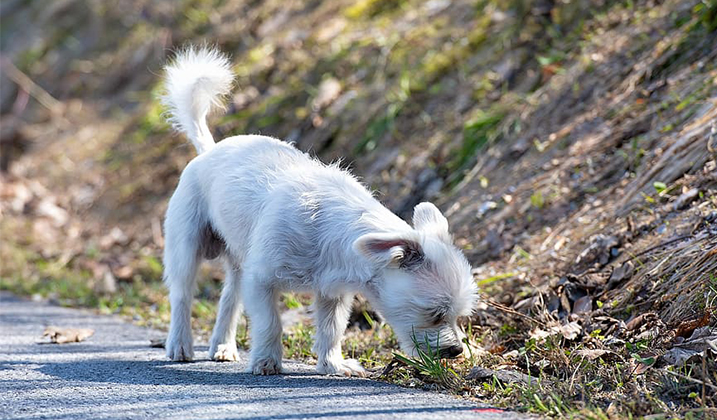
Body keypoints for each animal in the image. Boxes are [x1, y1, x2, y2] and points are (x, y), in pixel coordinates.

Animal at [159, 46, 478, 378]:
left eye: (458, 315)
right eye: (435, 314)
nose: (456, 350)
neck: (328, 230)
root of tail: (209, 150)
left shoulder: (331, 293)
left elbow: (331, 329)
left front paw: (332, 364)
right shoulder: (261, 281)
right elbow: (270, 323)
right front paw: (266, 361)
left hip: (238, 263)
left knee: (229, 299)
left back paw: (222, 346)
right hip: (186, 249)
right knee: (182, 295)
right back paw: (180, 345)